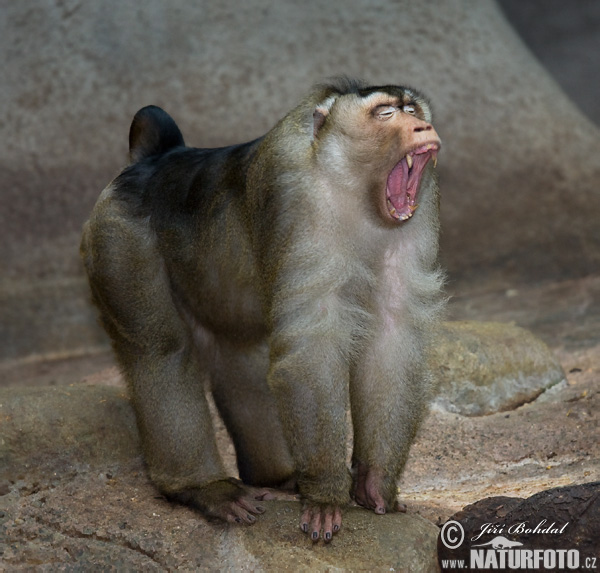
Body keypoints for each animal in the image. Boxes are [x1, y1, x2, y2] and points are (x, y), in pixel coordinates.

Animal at [81, 79, 446, 540]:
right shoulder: (295, 197)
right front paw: (325, 493)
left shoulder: (422, 207)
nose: (422, 127)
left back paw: (275, 478)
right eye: (385, 114)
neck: (350, 188)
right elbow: (312, 347)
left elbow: (391, 336)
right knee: (159, 350)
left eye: (411, 109)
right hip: (116, 236)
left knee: (238, 355)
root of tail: (157, 160)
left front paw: (374, 482)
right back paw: (202, 488)